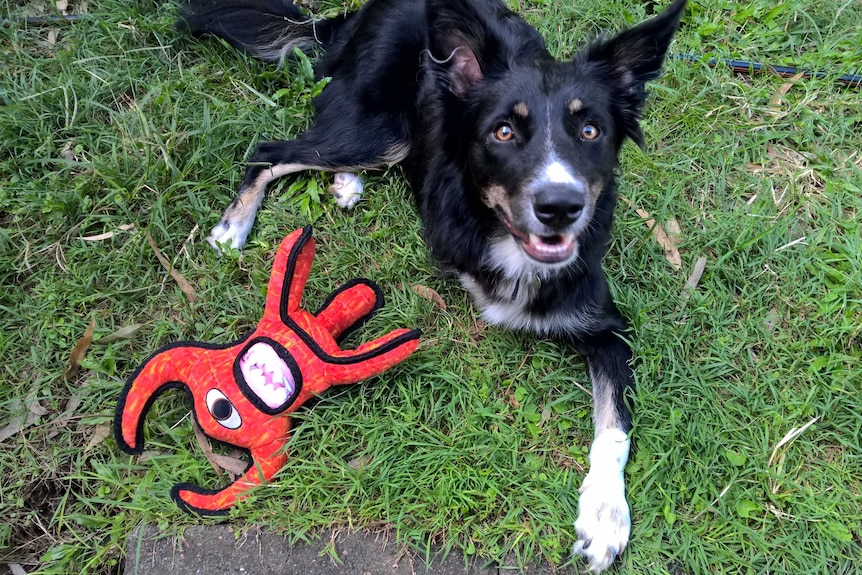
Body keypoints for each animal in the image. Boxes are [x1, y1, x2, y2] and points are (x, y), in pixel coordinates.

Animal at [181, 0, 688, 568]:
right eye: (503, 132)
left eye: (591, 131)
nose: (560, 207)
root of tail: (366, 11)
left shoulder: (606, 328)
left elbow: (614, 431)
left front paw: (605, 515)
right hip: (380, 130)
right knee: (271, 150)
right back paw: (234, 227)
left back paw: (345, 185)